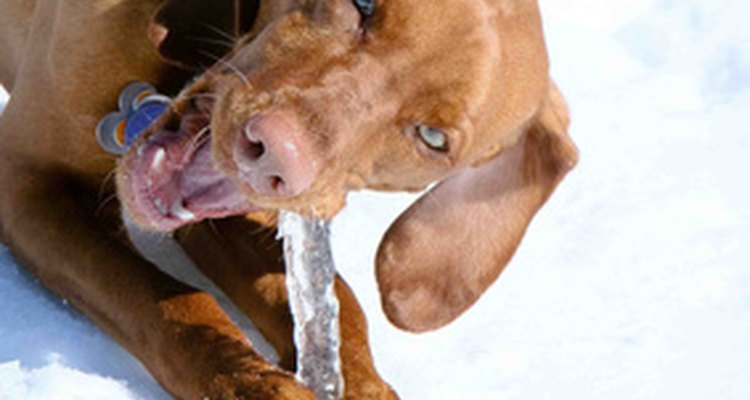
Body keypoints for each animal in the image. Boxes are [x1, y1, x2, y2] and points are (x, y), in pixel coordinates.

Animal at [0, 0, 580, 398]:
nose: (275, 152)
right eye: (364, 3)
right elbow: (169, 299)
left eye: (433, 137)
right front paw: (252, 385)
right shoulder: (27, 181)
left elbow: (343, 308)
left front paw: (361, 384)